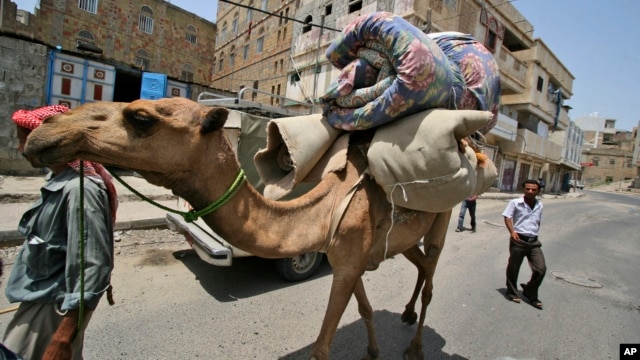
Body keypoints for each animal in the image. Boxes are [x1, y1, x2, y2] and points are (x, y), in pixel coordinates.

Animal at [25, 97, 472, 360]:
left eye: (140, 117)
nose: (44, 135)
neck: (322, 207)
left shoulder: (348, 260)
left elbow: (322, 347)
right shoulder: (349, 257)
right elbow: (363, 307)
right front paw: (374, 352)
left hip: (444, 217)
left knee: (432, 274)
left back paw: (416, 346)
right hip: (404, 238)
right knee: (419, 265)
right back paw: (406, 314)